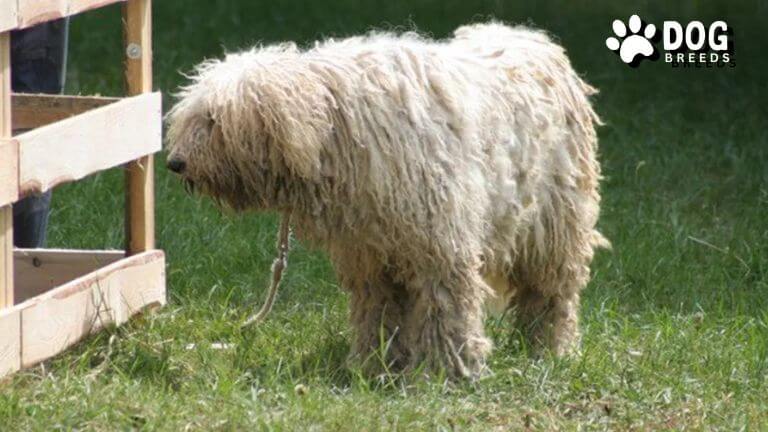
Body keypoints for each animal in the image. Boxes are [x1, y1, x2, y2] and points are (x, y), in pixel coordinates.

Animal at [166, 22, 608, 378]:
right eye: (194, 116)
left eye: (213, 120)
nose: (175, 162)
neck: (337, 127)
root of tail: (535, 40)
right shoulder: (370, 253)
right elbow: (379, 310)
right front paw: (376, 363)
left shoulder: (440, 246)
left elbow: (445, 307)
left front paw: (446, 370)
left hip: (554, 227)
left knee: (551, 295)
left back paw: (549, 349)